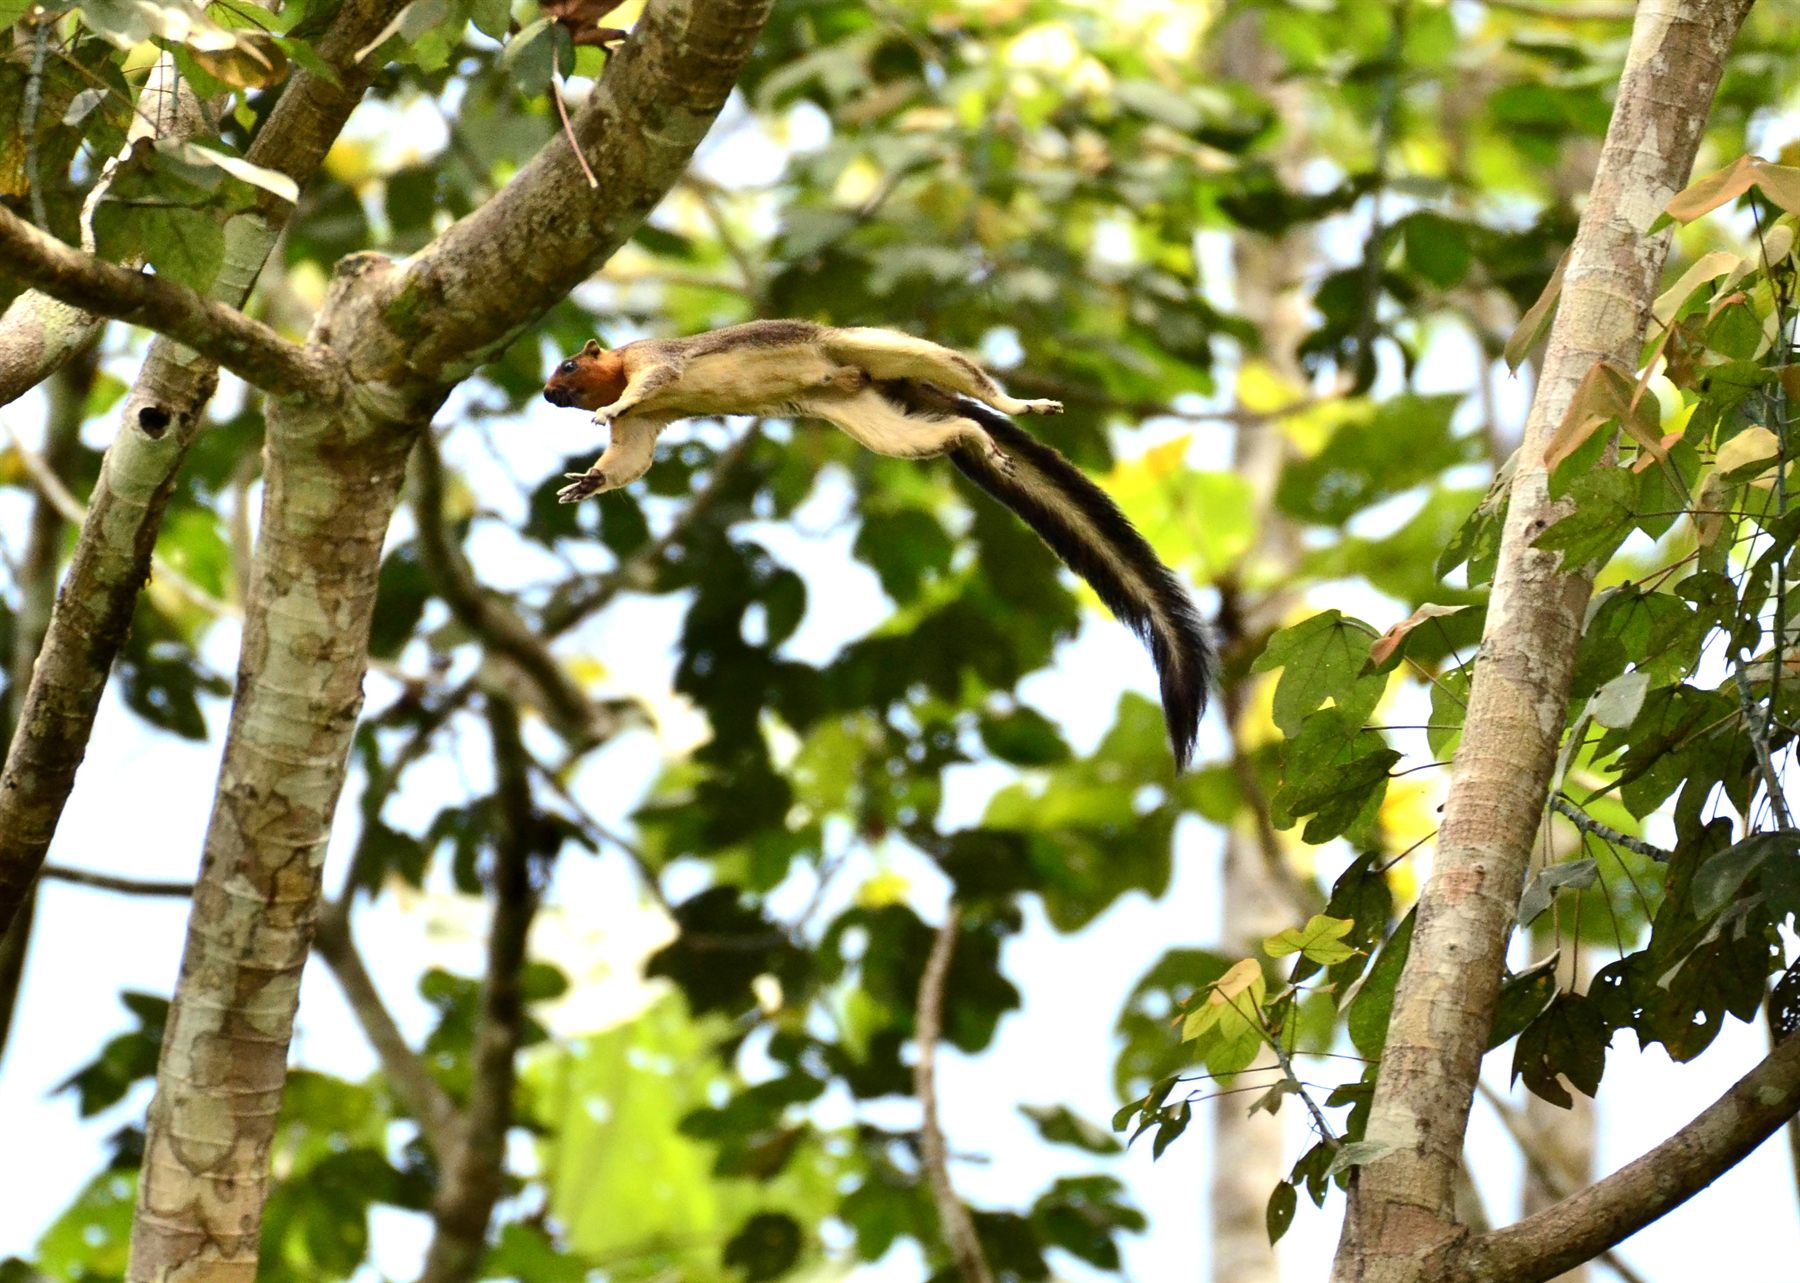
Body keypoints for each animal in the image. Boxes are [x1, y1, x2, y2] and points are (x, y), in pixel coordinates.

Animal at [542, 320, 1214, 767]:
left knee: (962, 376)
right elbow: (629, 461)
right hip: (871, 416)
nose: (549, 396)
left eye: (569, 367)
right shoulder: (643, 432)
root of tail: (882, 381)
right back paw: (977, 437)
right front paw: (587, 481)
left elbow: (649, 384)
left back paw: (1019, 403)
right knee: (951, 427)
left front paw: (610, 410)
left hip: (868, 346)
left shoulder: (655, 360)